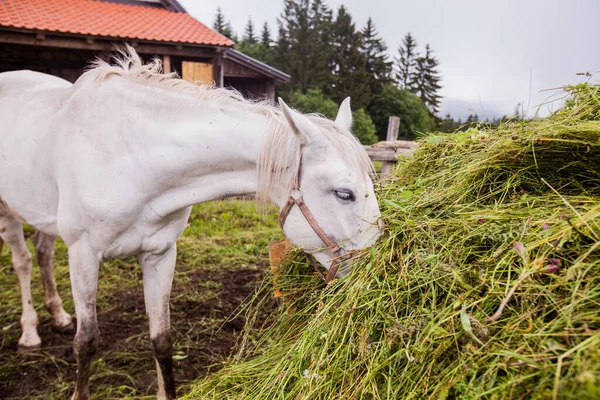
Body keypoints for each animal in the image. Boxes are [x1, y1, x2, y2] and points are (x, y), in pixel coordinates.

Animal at [0, 48, 382, 398]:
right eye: (344, 193)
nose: (374, 270)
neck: (131, 156)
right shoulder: (84, 255)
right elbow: (87, 343)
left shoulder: (160, 254)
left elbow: (162, 339)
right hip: (8, 214)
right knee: (23, 261)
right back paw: (30, 332)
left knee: (44, 254)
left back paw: (59, 316)